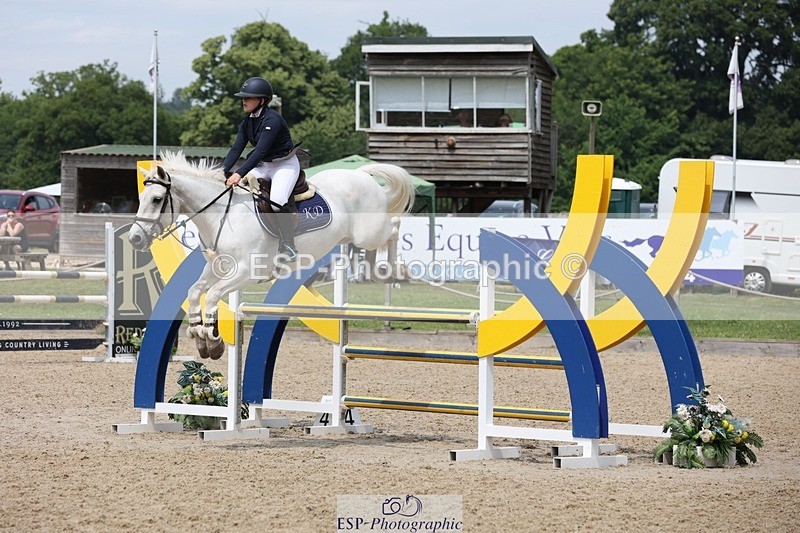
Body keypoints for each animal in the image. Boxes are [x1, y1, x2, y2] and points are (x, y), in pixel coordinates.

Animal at [129, 151, 415, 359]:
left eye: (156, 199)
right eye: (141, 198)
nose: (135, 238)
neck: (223, 215)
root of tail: (361, 175)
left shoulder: (246, 272)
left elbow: (211, 295)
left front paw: (213, 339)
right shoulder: (217, 268)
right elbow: (194, 292)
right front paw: (199, 337)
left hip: (370, 231)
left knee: (394, 227)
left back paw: (394, 271)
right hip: (356, 238)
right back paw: (378, 272)